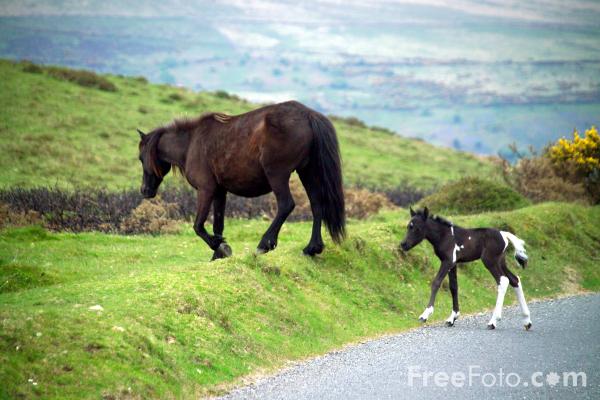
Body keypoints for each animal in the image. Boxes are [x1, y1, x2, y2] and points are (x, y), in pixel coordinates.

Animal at [135, 101, 342, 260]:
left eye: (141, 158)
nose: (145, 190)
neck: (190, 144)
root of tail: (308, 115)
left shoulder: (206, 189)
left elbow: (198, 226)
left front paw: (220, 247)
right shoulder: (220, 191)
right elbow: (218, 224)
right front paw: (218, 253)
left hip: (278, 174)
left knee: (286, 205)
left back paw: (264, 245)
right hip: (308, 172)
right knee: (317, 205)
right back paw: (312, 248)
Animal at [400, 208, 532, 330]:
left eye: (417, 228)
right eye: (408, 226)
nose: (403, 244)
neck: (445, 236)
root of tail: (503, 234)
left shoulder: (447, 261)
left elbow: (436, 282)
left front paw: (425, 314)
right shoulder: (453, 264)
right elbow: (453, 287)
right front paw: (452, 318)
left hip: (490, 261)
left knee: (503, 281)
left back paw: (493, 321)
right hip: (500, 262)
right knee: (515, 280)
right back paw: (527, 321)